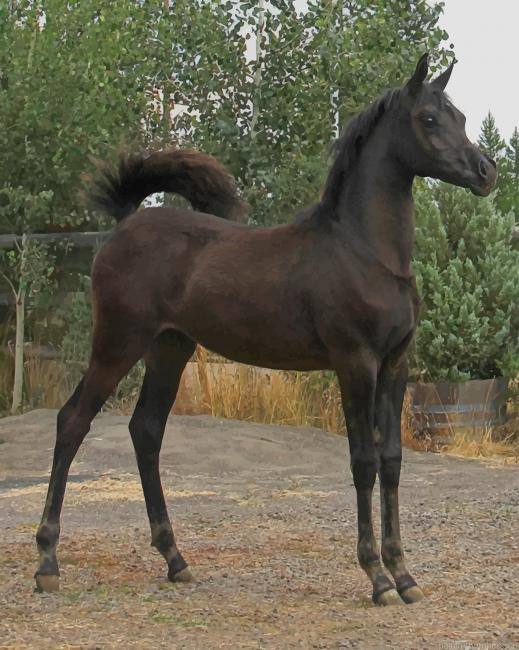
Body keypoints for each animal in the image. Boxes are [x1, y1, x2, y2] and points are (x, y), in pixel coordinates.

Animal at [34, 54, 496, 605]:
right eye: (428, 118)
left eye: (461, 117)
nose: (486, 172)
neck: (366, 252)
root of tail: (125, 223)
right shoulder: (355, 363)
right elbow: (363, 460)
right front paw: (377, 577)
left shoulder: (395, 365)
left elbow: (392, 460)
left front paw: (405, 575)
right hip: (117, 344)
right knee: (72, 422)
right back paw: (47, 562)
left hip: (170, 348)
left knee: (145, 430)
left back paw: (175, 560)